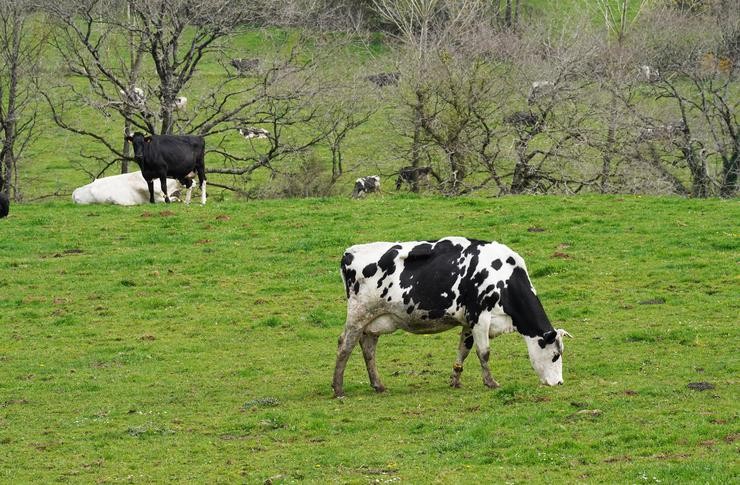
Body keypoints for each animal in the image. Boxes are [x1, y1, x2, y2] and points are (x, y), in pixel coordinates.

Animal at [334, 236, 572, 396]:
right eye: (555, 355)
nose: (559, 383)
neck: (503, 278)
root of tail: (350, 252)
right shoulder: (480, 317)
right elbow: (484, 353)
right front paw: (491, 382)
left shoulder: (469, 321)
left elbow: (463, 351)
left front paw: (456, 380)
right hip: (358, 314)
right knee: (345, 345)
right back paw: (338, 388)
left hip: (374, 321)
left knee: (368, 348)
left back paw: (378, 385)